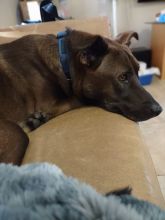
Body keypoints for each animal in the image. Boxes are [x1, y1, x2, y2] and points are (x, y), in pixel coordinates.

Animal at [0, 28, 162, 163]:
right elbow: (76, 99)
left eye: (138, 71)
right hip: (15, 134)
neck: (64, 63)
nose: (159, 110)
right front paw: (35, 119)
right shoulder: (49, 102)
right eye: (122, 77)